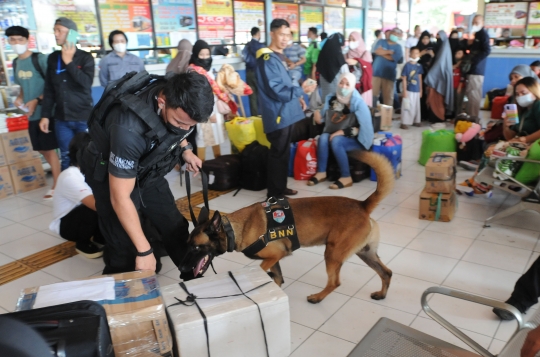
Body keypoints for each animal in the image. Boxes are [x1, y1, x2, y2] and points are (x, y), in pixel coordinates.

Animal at [179, 150, 394, 304]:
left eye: (196, 247)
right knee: (386, 272)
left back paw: (318, 297)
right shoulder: (276, 259)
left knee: (334, 282)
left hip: (332, 254)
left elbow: (263, 270)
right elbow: (277, 279)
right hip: (365, 253)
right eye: (187, 244)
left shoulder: (274, 256)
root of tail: (362, 205)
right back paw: (382, 294)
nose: (181, 268)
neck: (236, 228)